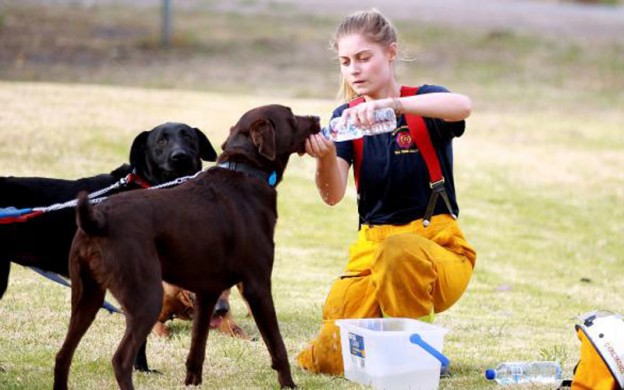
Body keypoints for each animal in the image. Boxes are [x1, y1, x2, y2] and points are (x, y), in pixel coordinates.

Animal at [53, 104, 320, 390]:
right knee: (120, 360)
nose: (317, 118)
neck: (245, 171)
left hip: (86, 297)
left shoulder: (207, 293)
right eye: (291, 117)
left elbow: (196, 350)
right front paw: (289, 383)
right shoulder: (257, 285)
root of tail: (97, 220)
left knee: (63, 355)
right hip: (146, 298)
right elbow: (277, 346)